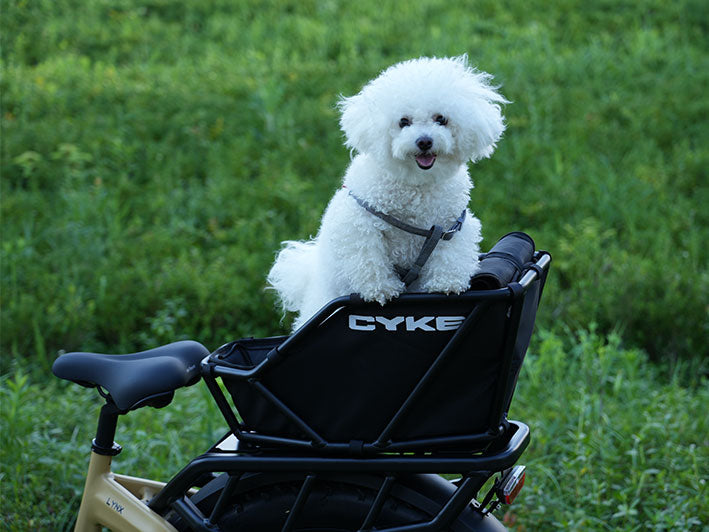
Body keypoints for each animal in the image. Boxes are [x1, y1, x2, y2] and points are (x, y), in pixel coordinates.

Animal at [268, 55, 506, 328]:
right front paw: (381, 290)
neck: (416, 185)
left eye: (441, 119)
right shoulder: (360, 226)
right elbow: (369, 262)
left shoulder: (451, 229)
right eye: (403, 122)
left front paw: (446, 284)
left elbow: (451, 259)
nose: (424, 141)